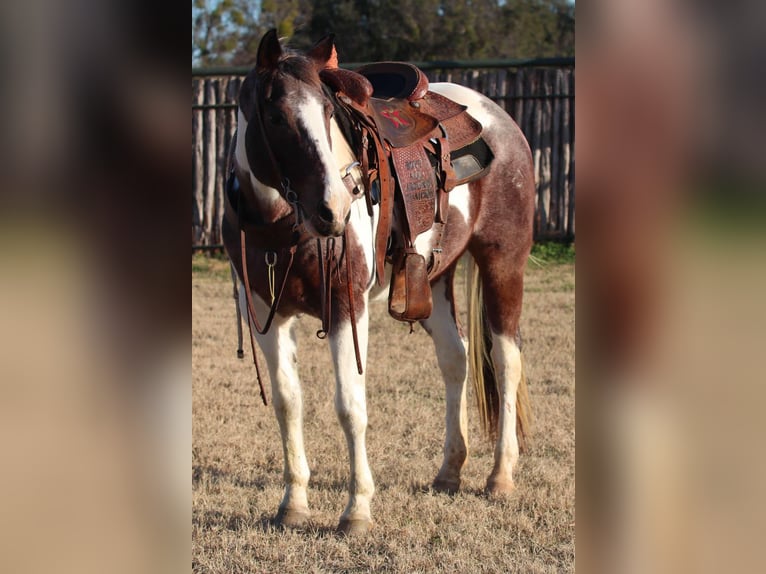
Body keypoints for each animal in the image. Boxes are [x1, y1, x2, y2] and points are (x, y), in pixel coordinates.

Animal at [223, 29, 535, 536]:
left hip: (503, 262)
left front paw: (357, 510)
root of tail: (498, 117)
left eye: (328, 111)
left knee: (506, 361)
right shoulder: (264, 312)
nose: (333, 207)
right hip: (435, 279)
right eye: (275, 115)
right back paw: (450, 471)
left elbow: (351, 407)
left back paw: (501, 476)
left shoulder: (348, 307)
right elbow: (289, 403)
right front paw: (293, 504)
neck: (282, 225)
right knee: (456, 358)